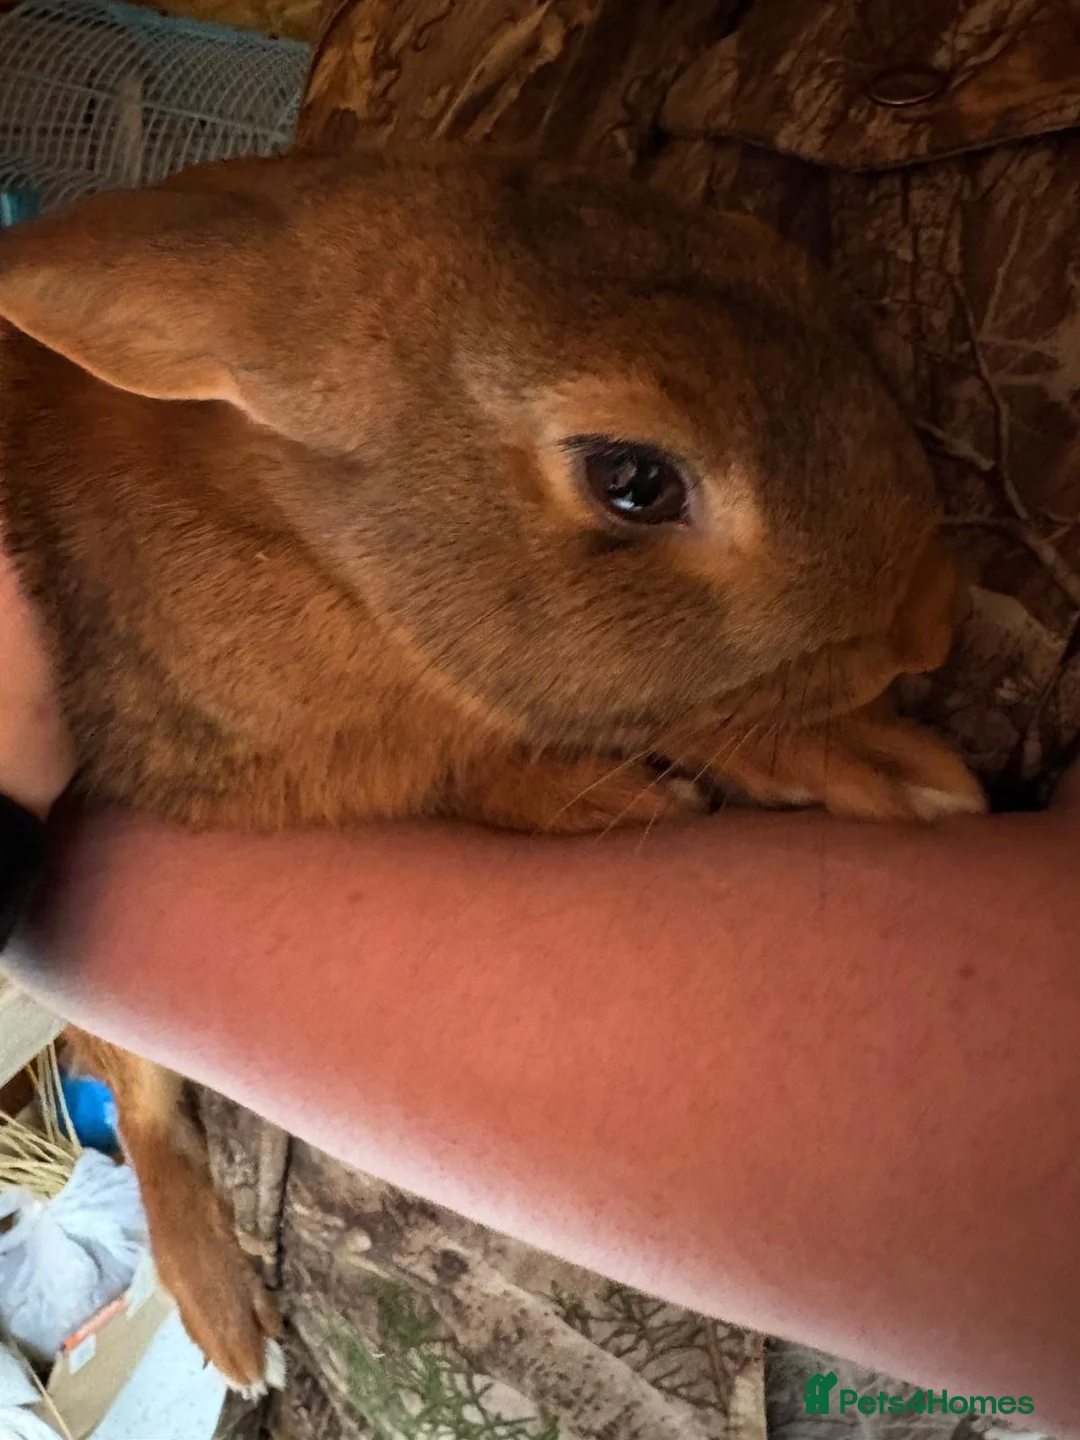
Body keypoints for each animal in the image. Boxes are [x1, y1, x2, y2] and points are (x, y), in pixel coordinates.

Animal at [0, 149, 986, 1393]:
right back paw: (229, 1329)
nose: (933, 623)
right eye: (634, 478)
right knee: (139, 1104)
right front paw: (861, 768)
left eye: (773, 259)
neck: (318, 543)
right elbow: (525, 746)